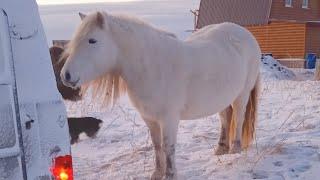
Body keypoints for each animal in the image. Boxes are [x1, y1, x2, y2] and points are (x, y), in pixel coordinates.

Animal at [60, 11, 260, 179]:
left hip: (241, 95)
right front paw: (157, 173)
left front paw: (170, 174)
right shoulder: (150, 118)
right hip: (222, 98)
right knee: (225, 118)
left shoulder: (169, 118)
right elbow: (157, 146)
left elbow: (168, 147)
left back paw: (235, 149)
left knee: (239, 118)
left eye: (92, 40)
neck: (152, 67)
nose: (65, 76)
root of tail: (245, 33)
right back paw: (221, 148)